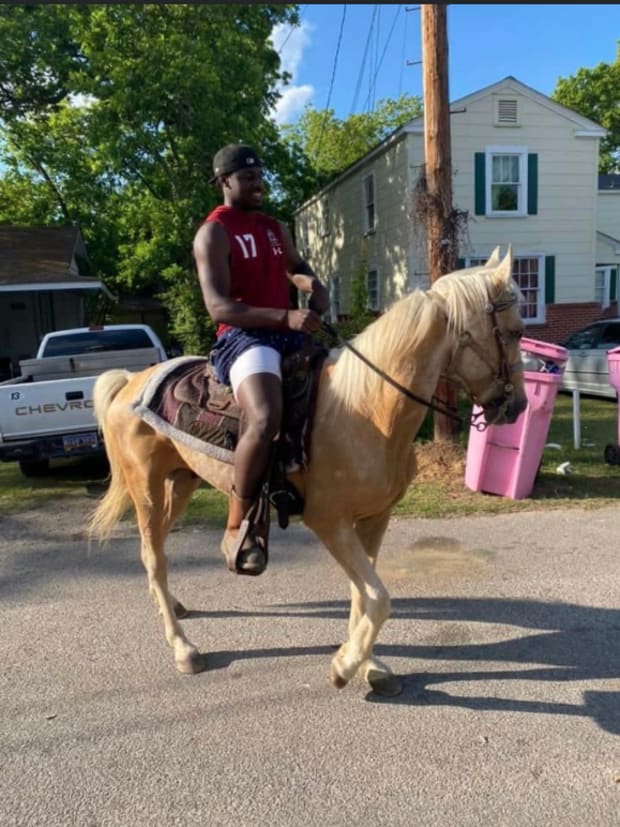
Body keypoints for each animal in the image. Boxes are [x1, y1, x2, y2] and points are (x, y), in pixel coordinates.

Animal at [89, 249, 524, 696]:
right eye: (515, 332)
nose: (519, 405)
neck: (368, 407)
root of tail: (131, 381)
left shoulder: (373, 519)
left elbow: (363, 594)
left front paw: (370, 664)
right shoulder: (329, 521)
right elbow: (378, 597)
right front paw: (345, 665)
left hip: (180, 483)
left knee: (156, 552)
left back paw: (173, 606)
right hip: (147, 487)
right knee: (152, 556)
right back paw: (183, 647)